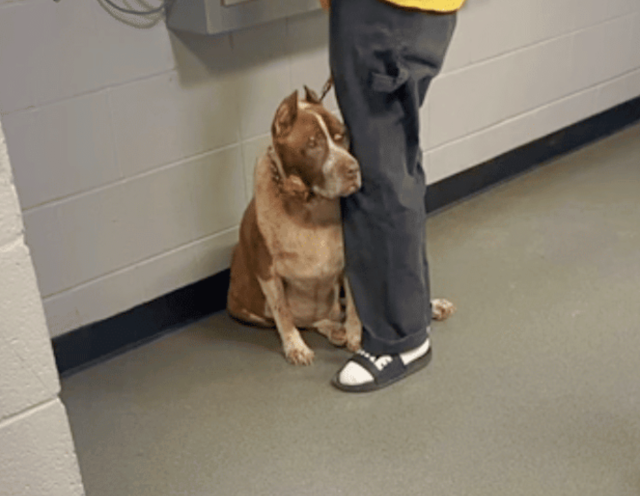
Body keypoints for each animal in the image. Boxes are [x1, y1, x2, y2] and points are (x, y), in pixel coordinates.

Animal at [227, 87, 455, 365]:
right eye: (313, 143)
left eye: (340, 136)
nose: (353, 169)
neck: (309, 206)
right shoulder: (267, 271)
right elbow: (283, 314)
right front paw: (295, 346)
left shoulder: (351, 259)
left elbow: (357, 305)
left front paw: (356, 336)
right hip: (247, 311)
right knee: (307, 320)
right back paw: (333, 329)